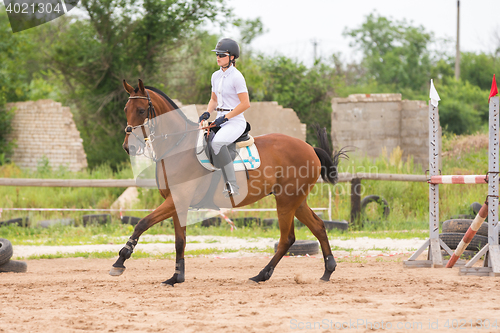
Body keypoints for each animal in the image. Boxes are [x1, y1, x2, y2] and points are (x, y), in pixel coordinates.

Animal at [109, 79, 346, 284]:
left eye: (141, 110)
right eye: (126, 110)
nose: (128, 146)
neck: (177, 146)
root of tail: (310, 148)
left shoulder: (177, 199)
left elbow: (142, 223)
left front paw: (120, 261)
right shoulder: (177, 204)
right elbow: (179, 241)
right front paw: (176, 277)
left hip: (286, 201)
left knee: (287, 238)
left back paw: (262, 274)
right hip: (296, 200)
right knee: (318, 227)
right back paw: (327, 271)